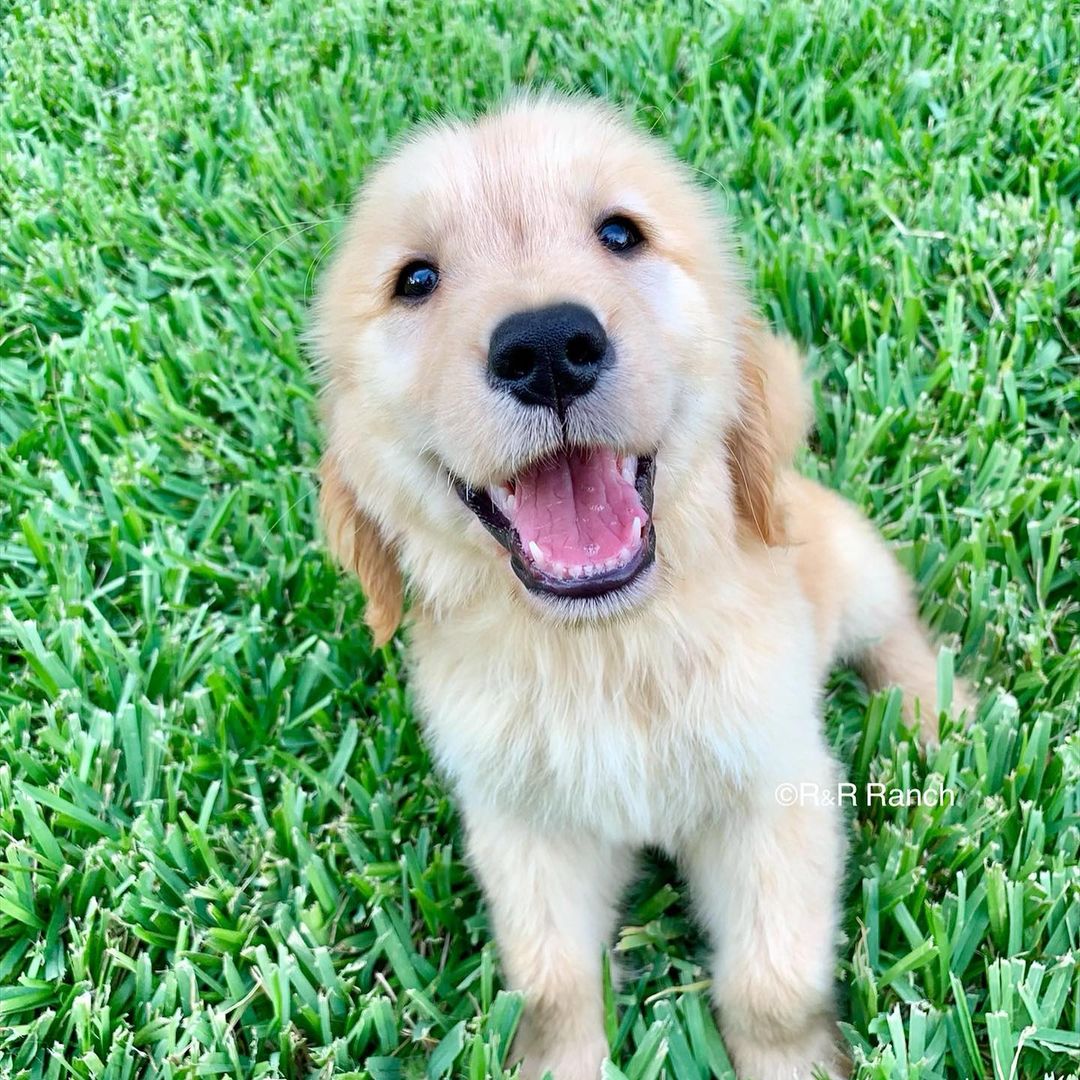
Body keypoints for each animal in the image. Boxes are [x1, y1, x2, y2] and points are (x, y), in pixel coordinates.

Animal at [313, 92, 972, 1080]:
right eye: (416, 280)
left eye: (620, 233)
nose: (548, 346)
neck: (607, 645)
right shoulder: (526, 828)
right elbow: (551, 985)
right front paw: (561, 1062)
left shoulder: (775, 792)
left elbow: (773, 984)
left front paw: (790, 1062)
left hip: (846, 556)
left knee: (895, 627)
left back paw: (942, 716)